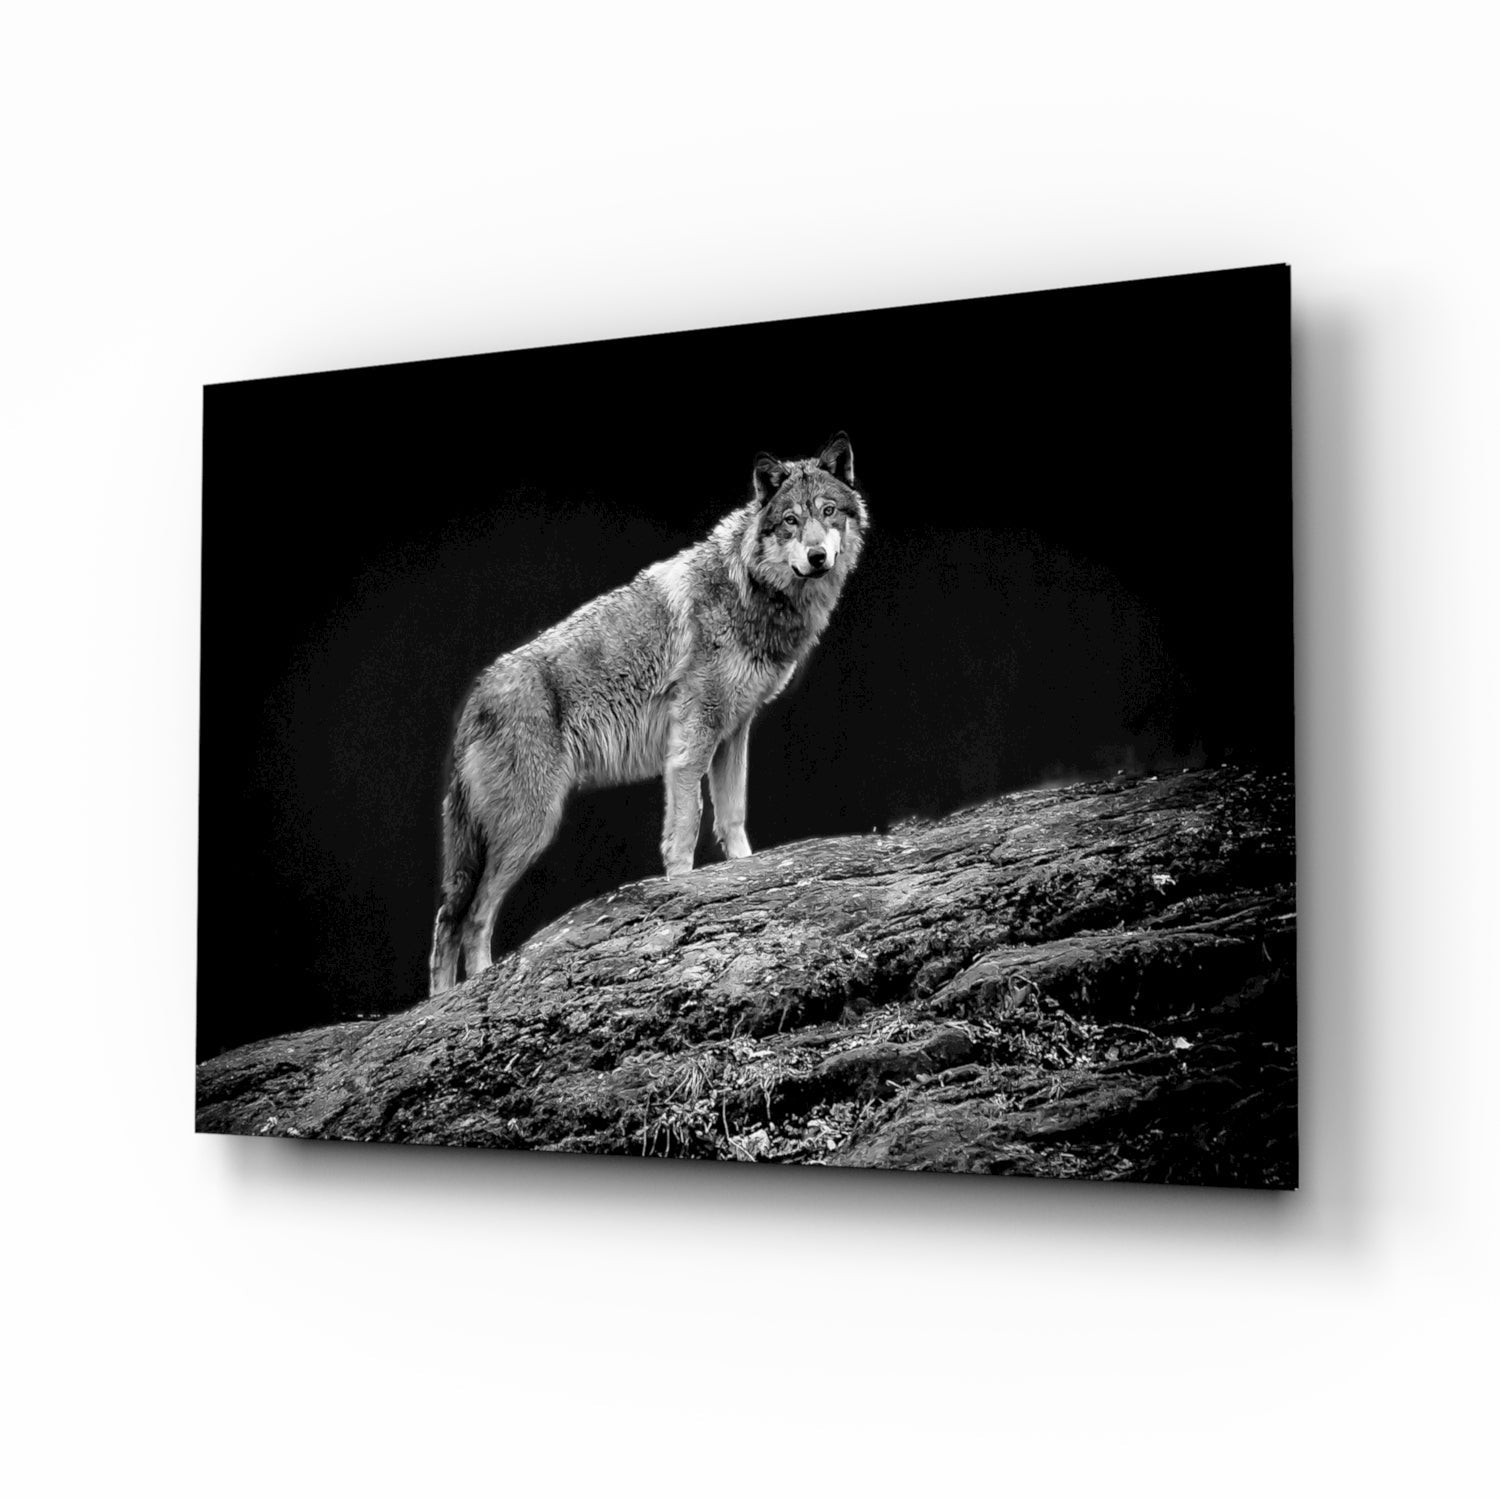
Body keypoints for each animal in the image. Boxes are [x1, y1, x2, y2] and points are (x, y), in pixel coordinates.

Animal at [428, 432, 868, 995]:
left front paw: (745, 872)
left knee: (448, 919)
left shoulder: (734, 732)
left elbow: (732, 817)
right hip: (530, 828)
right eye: (790, 520)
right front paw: (682, 887)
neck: (749, 588)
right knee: (470, 919)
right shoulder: (692, 741)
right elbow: (686, 825)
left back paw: (439, 1003)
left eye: (828, 511)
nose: (816, 556)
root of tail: (474, 699)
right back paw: (469, 991)